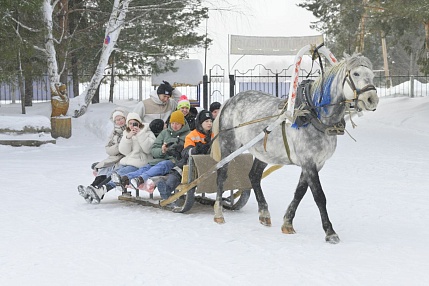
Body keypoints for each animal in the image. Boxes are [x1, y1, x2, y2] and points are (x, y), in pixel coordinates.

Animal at [211, 53, 378, 244]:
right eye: (356, 74)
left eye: (372, 75)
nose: (372, 99)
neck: (314, 115)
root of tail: (229, 101)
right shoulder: (308, 162)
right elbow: (319, 196)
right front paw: (330, 232)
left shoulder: (316, 163)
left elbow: (300, 192)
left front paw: (287, 223)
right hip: (229, 145)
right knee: (221, 175)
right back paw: (219, 213)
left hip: (264, 152)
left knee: (254, 176)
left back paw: (264, 213)